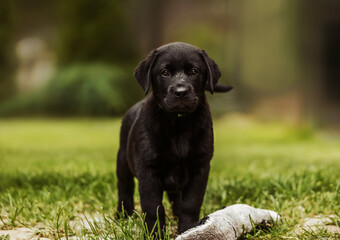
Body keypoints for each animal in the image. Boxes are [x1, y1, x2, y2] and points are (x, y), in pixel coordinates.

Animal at [116, 42, 231, 235]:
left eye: (194, 71)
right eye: (164, 73)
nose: (181, 92)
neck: (179, 123)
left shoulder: (200, 167)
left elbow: (191, 204)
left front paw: (187, 229)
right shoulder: (148, 169)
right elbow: (153, 207)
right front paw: (155, 234)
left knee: (177, 197)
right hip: (123, 161)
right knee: (124, 188)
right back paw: (123, 215)